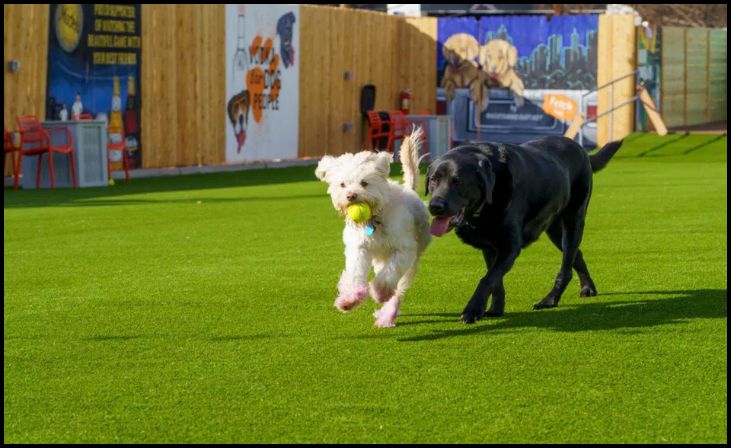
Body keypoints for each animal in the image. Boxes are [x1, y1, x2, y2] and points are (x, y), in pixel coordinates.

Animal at [316, 128, 432, 328]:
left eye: (364, 183)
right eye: (342, 184)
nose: (351, 196)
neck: (374, 220)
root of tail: (409, 189)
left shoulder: (404, 250)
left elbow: (389, 275)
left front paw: (379, 292)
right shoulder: (359, 248)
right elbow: (355, 273)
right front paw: (349, 299)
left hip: (412, 260)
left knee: (398, 289)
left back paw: (388, 314)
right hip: (380, 259)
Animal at [428, 135, 624, 324]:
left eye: (457, 182)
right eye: (433, 180)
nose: (434, 206)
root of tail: (580, 148)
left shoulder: (510, 247)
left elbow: (487, 279)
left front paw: (472, 311)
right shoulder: (490, 247)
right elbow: (495, 281)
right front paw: (496, 309)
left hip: (573, 219)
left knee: (567, 265)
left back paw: (550, 300)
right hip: (554, 229)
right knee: (577, 254)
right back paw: (588, 287)